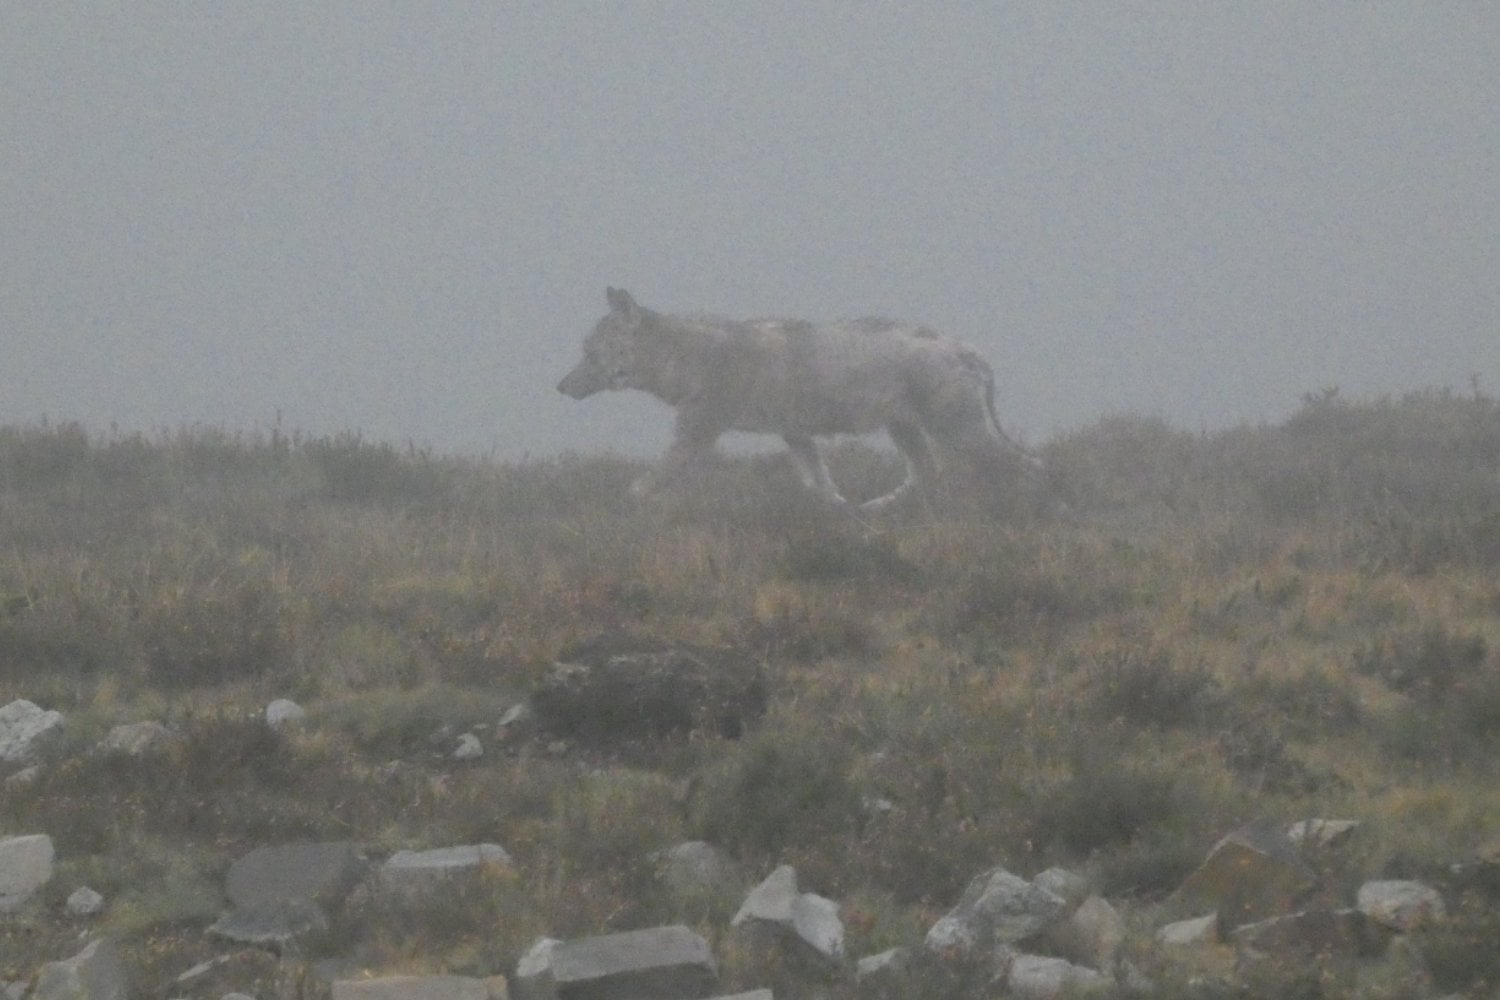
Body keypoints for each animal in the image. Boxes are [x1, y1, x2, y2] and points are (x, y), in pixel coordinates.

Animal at [558, 287, 1041, 512]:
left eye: (589, 351)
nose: (560, 387)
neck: (684, 357)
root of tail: (968, 349)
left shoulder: (699, 431)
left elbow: (649, 482)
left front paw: (622, 506)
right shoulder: (795, 434)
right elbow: (820, 485)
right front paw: (840, 513)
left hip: (958, 433)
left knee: (1027, 465)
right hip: (906, 430)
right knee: (925, 475)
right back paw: (875, 509)